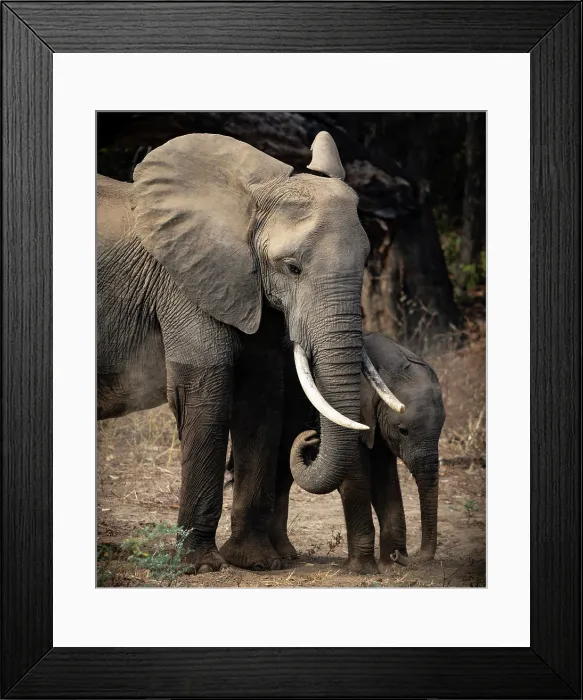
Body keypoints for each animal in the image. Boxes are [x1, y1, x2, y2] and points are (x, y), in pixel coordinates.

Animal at [97, 130, 402, 573]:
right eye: (292, 267)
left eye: (366, 261)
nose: (309, 438)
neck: (245, 203)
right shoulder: (187, 283)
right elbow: (207, 391)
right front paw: (201, 565)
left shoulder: (247, 286)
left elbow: (260, 396)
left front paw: (256, 562)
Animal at [225, 331, 445, 572]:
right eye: (403, 431)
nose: (403, 556)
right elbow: (357, 477)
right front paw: (363, 570)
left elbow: (385, 480)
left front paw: (391, 566)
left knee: (283, 476)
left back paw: (286, 554)